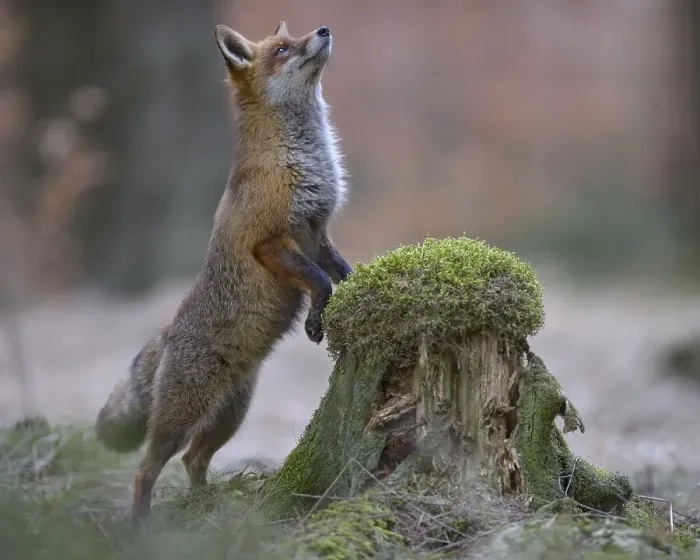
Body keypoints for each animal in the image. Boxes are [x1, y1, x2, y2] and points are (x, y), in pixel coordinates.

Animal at [95, 21, 353, 522]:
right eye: (282, 49)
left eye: (293, 39)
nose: (324, 28)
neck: (295, 158)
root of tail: (167, 336)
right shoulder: (270, 242)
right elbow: (319, 281)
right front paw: (316, 321)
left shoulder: (320, 233)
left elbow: (341, 271)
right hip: (182, 418)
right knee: (145, 470)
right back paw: (142, 525)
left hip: (231, 415)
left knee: (194, 459)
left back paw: (207, 503)